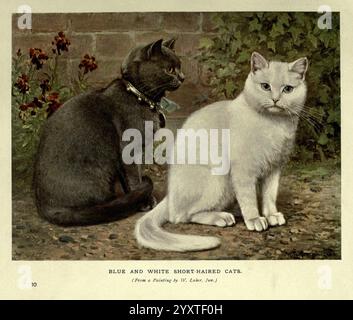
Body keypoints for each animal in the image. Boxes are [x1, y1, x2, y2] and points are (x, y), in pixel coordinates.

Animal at [32, 38, 184, 225]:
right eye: (170, 70)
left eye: (180, 67)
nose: (182, 77)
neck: (142, 98)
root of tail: (45, 206)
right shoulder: (129, 149)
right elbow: (134, 177)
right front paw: (144, 202)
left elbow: (130, 178)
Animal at [135, 52, 308, 251]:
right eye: (265, 86)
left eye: (288, 89)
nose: (275, 99)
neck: (274, 124)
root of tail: (170, 197)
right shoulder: (243, 171)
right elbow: (249, 198)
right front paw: (255, 219)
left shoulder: (274, 169)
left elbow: (270, 196)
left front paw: (271, 215)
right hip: (218, 179)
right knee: (181, 216)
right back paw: (222, 217)